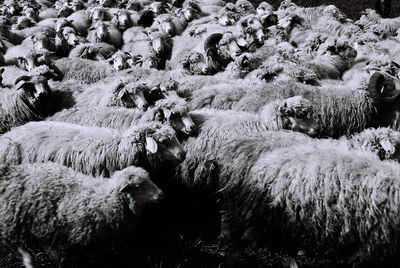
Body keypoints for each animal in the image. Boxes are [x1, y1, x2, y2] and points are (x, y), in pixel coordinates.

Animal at [0, 162, 163, 266]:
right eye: (138, 186)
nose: (161, 194)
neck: (106, 198)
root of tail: (9, 172)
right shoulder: (75, 239)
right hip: (13, 221)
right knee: (13, 244)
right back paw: (29, 260)